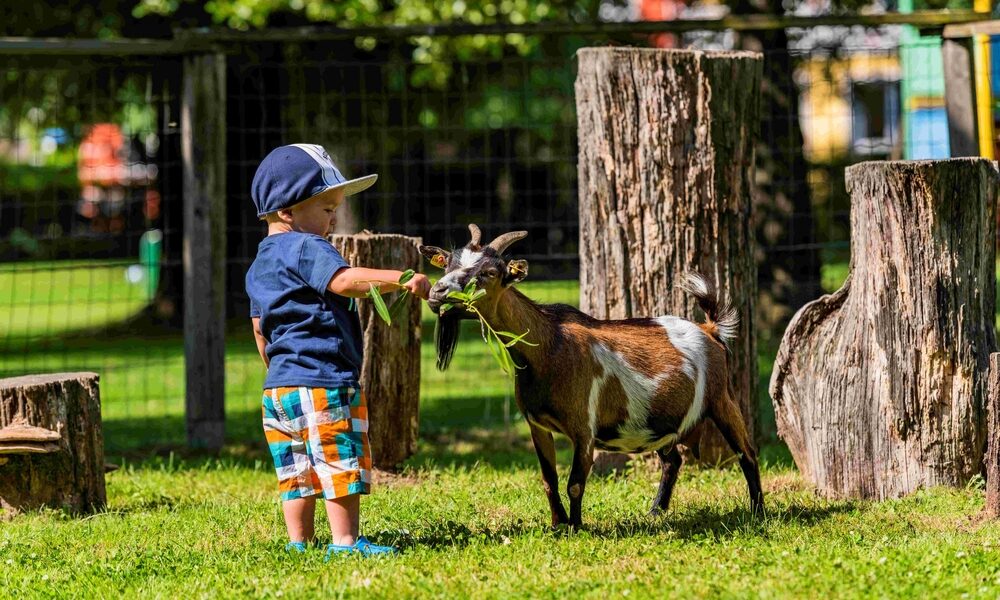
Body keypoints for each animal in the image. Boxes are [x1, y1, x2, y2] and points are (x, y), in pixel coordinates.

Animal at [419, 224, 763, 528]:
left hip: (722, 399)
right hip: (661, 420)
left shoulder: (584, 427)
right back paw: (655, 512)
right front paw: (557, 524)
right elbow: (549, 479)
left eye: (489, 273)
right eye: (448, 263)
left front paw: (577, 527)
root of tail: (710, 329)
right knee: (673, 460)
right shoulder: (537, 425)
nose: (437, 292)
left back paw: (757, 512)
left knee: (747, 453)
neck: (548, 347)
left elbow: (575, 483)